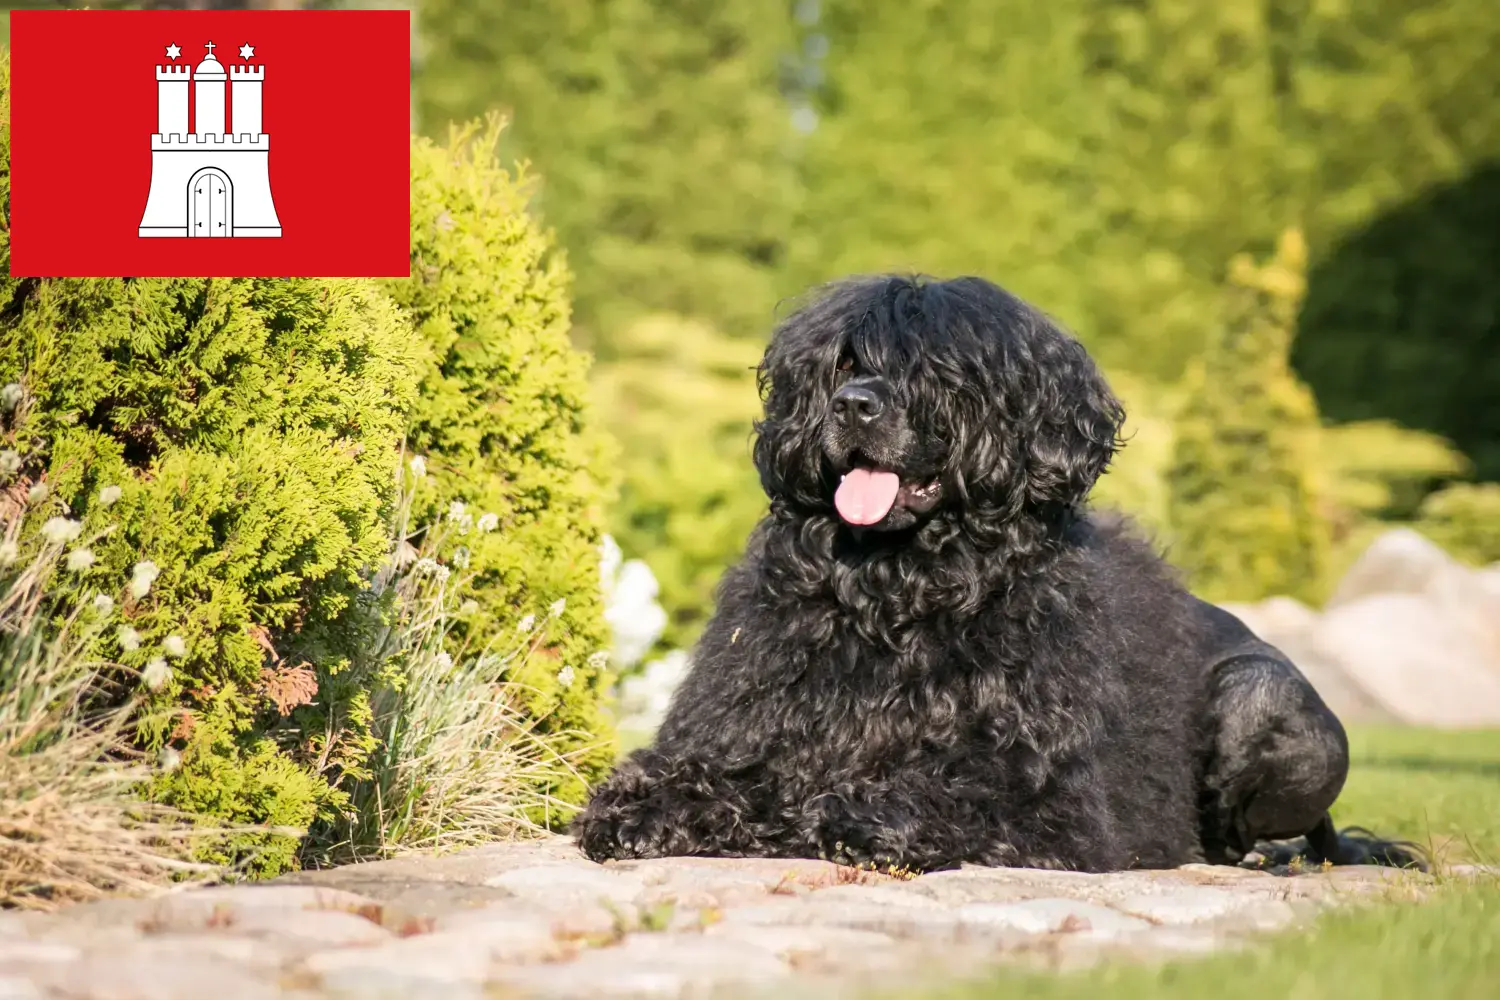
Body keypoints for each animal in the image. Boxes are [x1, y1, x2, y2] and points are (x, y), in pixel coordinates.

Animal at [573, 275, 1416, 875]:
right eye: (844, 362)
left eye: (936, 372)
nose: (852, 405)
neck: (900, 591)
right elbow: (707, 775)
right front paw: (651, 810)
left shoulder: (1048, 802)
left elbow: (934, 793)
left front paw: (853, 816)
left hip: (1262, 697)